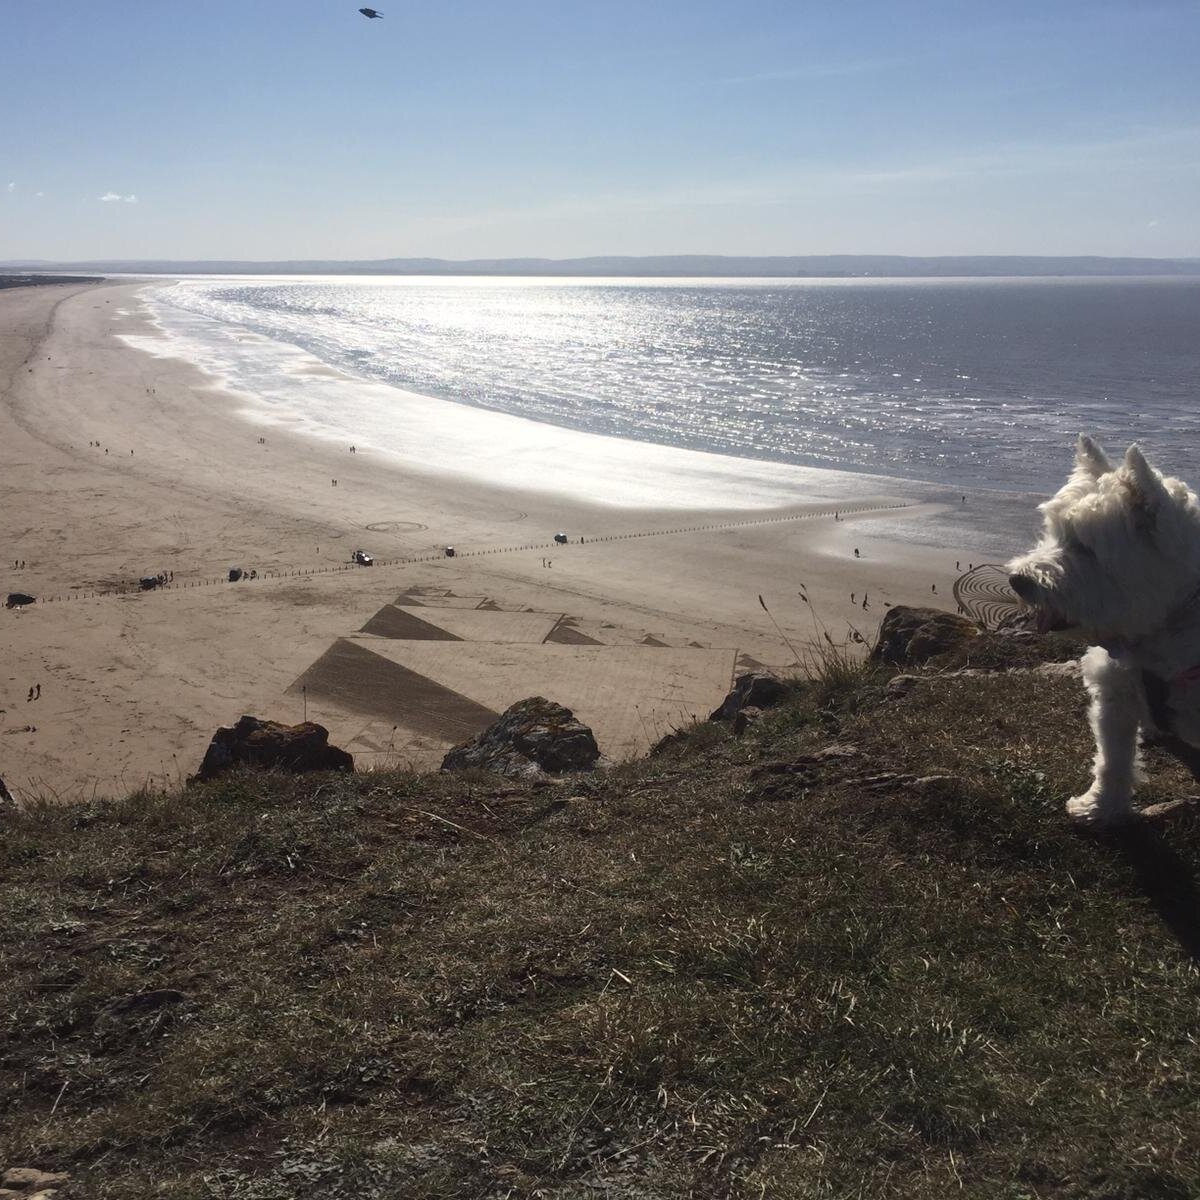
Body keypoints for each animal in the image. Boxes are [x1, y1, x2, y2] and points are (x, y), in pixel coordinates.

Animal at [1008, 439, 1200, 825]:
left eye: (1085, 547)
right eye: (1054, 532)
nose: (1017, 580)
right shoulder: (1114, 694)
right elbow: (1113, 760)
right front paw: (1099, 807)